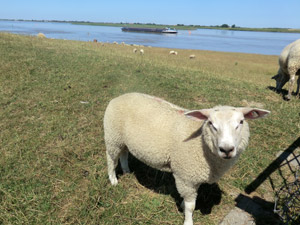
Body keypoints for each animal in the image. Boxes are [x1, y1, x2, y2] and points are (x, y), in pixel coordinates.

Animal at [103, 92, 270, 224]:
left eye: (241, 122)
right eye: (211, 123)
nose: (226, 149)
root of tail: (119, 97)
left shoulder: (192, 177)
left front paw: (182, 205)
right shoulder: (186, 176)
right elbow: (191, 206)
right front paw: (188, 219)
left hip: (123, 140)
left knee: (124, 154)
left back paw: (126, 171)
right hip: (112, 137)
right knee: (111, 159)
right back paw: (113, 180)